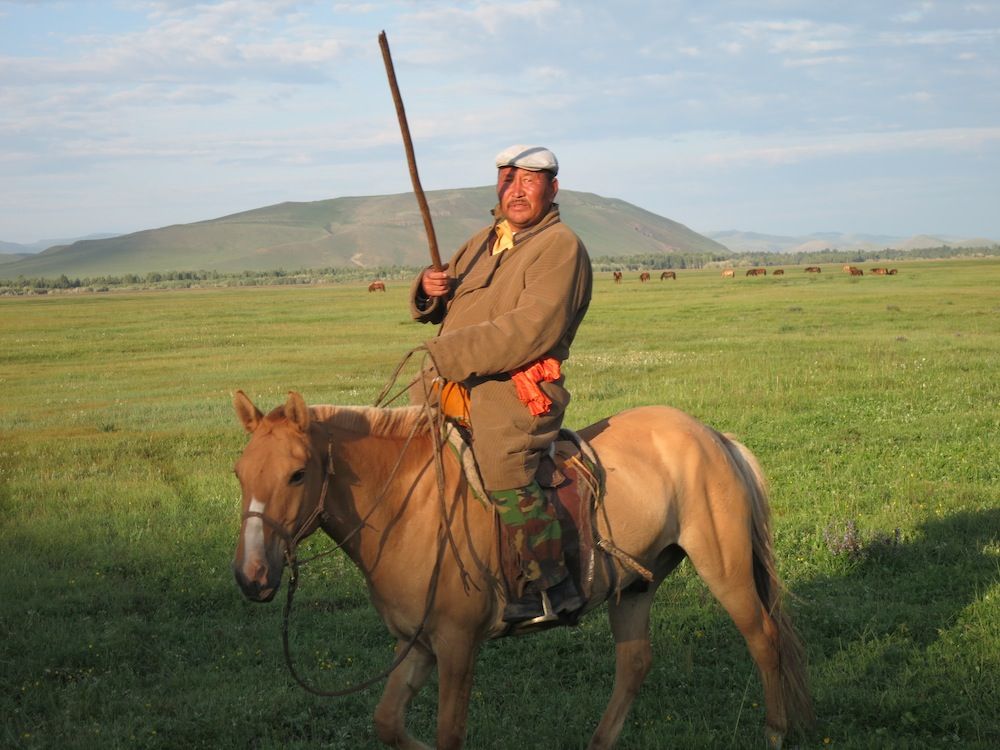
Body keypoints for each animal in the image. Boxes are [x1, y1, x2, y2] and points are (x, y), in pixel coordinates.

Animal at [232, 390, 812, 748]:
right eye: (239, 471)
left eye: (297, 473)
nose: (251, 575)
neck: (408, 505)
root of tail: (713, 436)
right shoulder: (416, 644)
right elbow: (388, 722)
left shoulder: (457, 645)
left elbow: (448, 734)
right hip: (636, 583)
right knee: (635, 662)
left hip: (724, 565)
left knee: (763, 637)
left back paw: (775, 731)